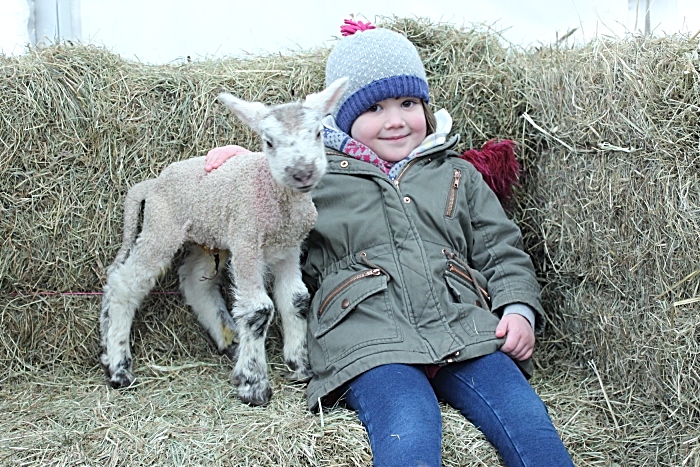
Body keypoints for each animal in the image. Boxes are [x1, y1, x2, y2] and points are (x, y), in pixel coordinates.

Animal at [98, 77, 348, 406]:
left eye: (318, 132)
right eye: (269, 142)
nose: (302, 172)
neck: (273, 196)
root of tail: (150, 185)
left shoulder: (289, 247)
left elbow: (295, 300)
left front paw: (300, 365)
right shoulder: (247, 242)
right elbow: (258, 310)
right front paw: (254, 384)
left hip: (208, 236)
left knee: (194, 282)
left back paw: (229, 339)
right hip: (162, 227)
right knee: (124, 284)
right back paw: (118, 366)